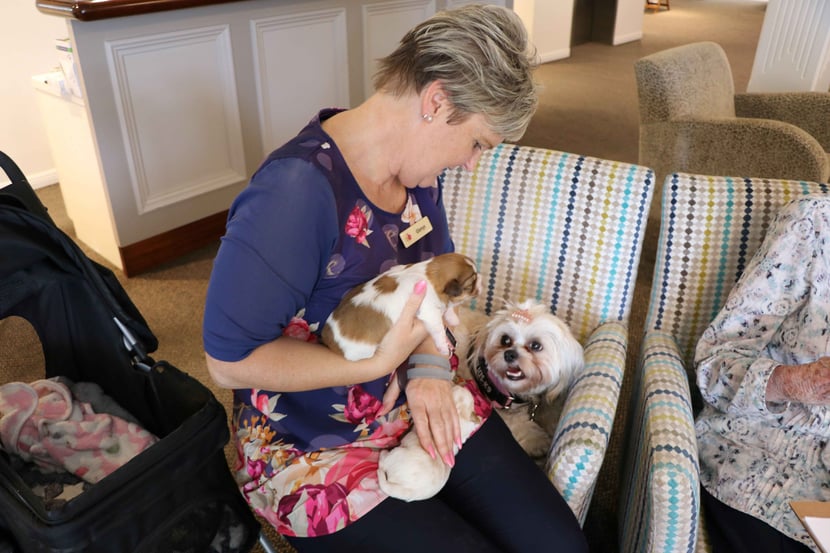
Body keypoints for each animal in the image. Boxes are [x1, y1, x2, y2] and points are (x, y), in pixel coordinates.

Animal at [321, 253, 480, 361]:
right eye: (471, 285)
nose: (481, 279)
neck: (430, 273)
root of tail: (328, 338)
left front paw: (452, 317)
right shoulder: (430, 313)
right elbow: (439, 330)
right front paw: (443, 347)